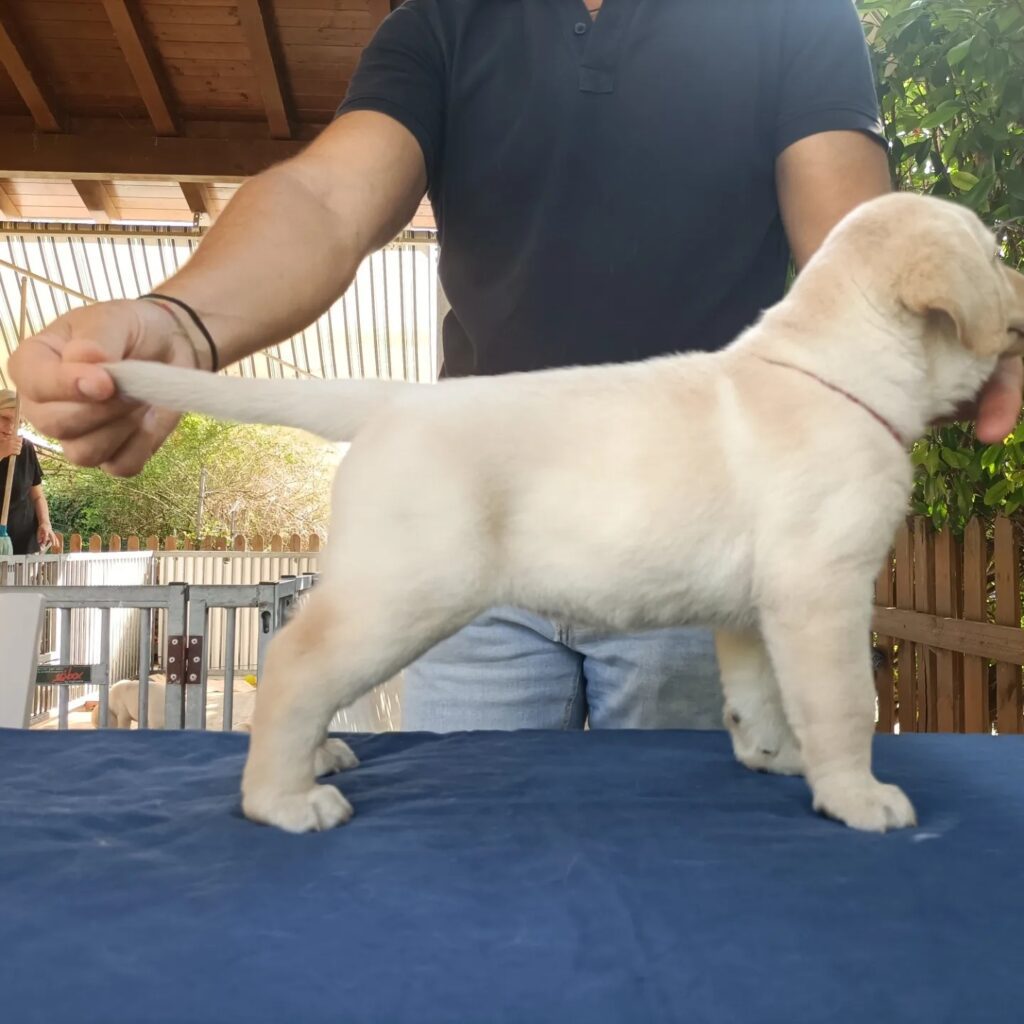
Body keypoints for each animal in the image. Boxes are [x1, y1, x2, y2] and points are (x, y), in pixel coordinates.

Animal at [108, 195, 1024, 835]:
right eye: (993, 254)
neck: (836, 370)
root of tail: (390, 402)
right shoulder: (821, 592)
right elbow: (840, 705)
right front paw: (856, 796)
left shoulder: (756, 610)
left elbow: (760, 695)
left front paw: (776, 759)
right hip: (406, 590)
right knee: (298, 662)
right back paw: (283, 800)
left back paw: (317, 759)